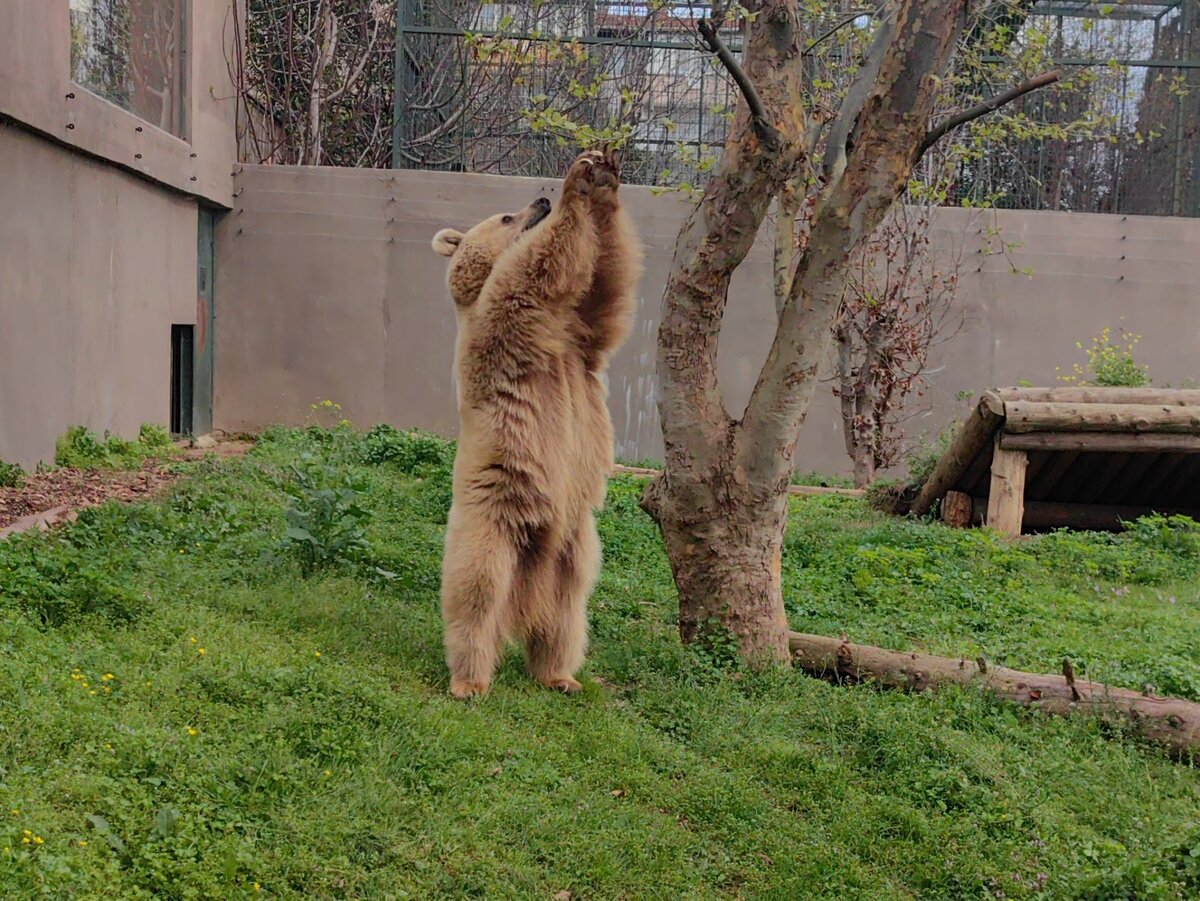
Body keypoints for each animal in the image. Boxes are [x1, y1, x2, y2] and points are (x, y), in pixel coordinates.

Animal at [427, 149, 643, 695]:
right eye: (506, 216)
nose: (538, 200)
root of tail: (529, 588)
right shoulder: (506, 329)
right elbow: (536, 271)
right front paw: (576, 185)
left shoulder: (579, 340)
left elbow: (607, 284)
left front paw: (605, 176)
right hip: (494, 515)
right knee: (476, 592)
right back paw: (469, 680)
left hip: (577, 546)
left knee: (569, 613)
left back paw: (561, 675)